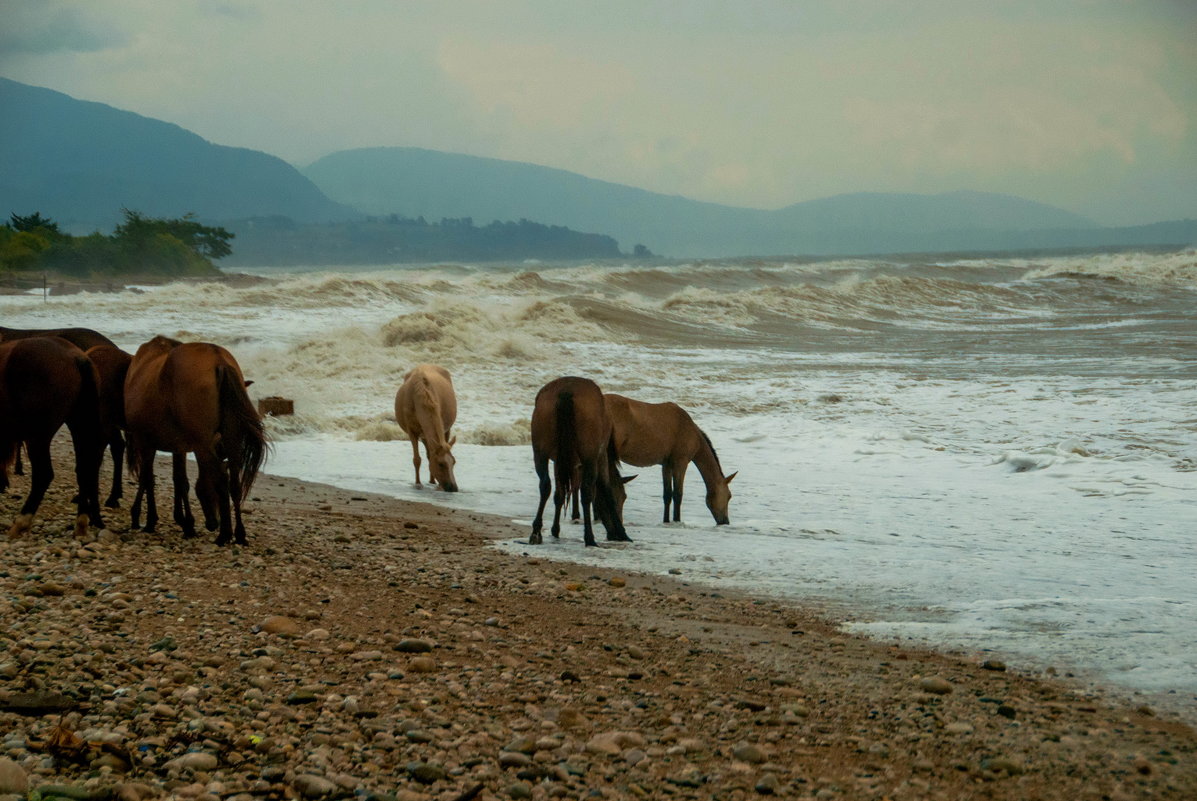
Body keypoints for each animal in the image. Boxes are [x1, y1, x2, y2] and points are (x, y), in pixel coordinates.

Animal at [0, 335, 105, 536]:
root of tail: (76, 357)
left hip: (38, 436)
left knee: (43, 475)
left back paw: (22, 521)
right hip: (81, 426)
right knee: (85, 471)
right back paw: (81, 523)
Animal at [123, 330, 266, 543]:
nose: (213, 523)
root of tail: (219, 360)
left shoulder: (145, 441)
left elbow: (148, 478)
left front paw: (149, 520)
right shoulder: (178, 446)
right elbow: (179, 480)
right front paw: (185, 523)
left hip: (203, 443)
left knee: (221, 479)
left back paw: (224, 534)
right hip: (230, 437)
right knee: (234, 481)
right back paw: (239, 534)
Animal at [529, 378, 632, 545]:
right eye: (622, 498)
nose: (612, 534)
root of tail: (566, 391)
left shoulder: (560, 461)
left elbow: (559, 494)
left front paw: (555, 530)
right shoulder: (601, 456)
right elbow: (606, 489)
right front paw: (622, 532)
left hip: (540, 452)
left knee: (545, 485)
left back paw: (536, 531)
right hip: (589, 456)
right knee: (586, 491)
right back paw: (589, 537)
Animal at [603, 392, 732, 524]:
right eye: (729, 496)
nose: (726, 521)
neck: (692, 433)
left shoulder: (667, 464)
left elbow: (667, 494)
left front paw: (666, 520)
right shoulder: (681, 463)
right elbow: (677, 494)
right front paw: (677, 520)